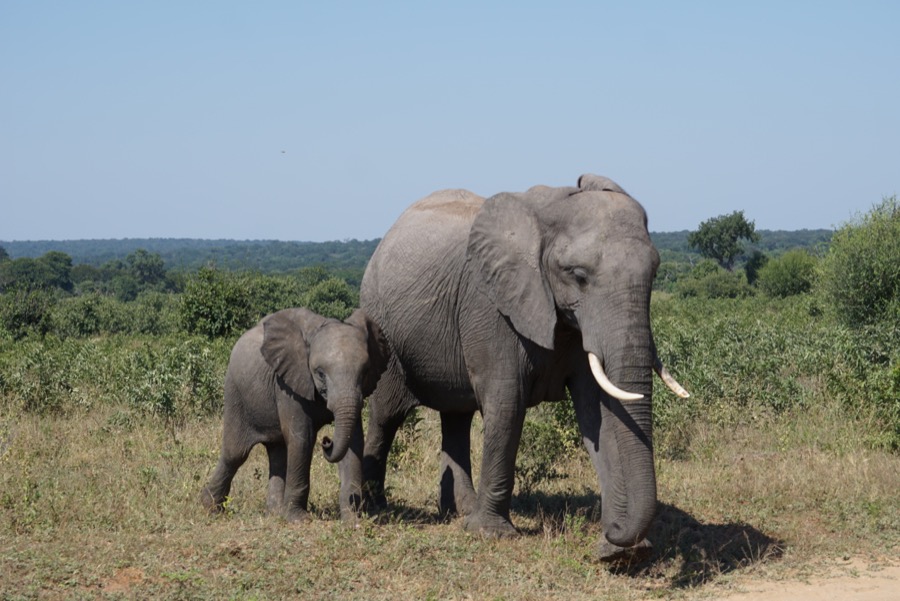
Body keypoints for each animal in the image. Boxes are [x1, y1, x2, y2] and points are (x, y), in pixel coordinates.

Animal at [200, 307, 390, 522]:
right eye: (320, 373)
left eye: (365, 372)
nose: (327, 441)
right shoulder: (287, 384)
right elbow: (302, 439)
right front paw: (299, 520)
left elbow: (354, 442)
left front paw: (353, 520)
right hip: (235, 393)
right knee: (235, 454)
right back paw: (210, 508)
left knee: (278, 453)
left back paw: (274, 513)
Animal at [357, 174, 688, 561]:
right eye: (578, 275)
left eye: (656, 272)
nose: (615, 528)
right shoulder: (490, 306)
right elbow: (507, 404)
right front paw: (491, 534)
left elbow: (600, 413)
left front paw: (619, 553)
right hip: (382, 327)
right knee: (386, 414)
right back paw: (373, 507)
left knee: (456, 416)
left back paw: (460, 511)